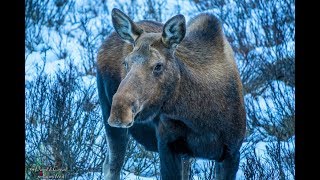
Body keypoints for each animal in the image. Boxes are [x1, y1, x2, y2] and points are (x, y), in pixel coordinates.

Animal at [96, 7, 246, 179]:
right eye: (125, 63)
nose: (120, 111)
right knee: (112, 168)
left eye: (158, 66)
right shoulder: (167, 147)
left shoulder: (232, 153)